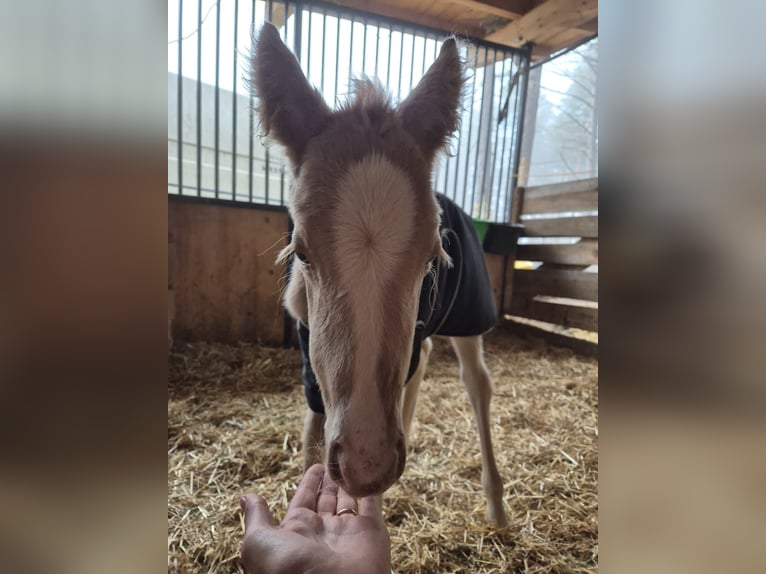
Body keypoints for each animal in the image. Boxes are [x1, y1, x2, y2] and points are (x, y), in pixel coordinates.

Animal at [252, 23, 510, 528]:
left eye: (431, 258)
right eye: (303, 253)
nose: (365, 466)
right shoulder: (310, 356)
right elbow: (312, 437)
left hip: (469, 314)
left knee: (477, 383)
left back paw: (496, 504)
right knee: (423, 357)